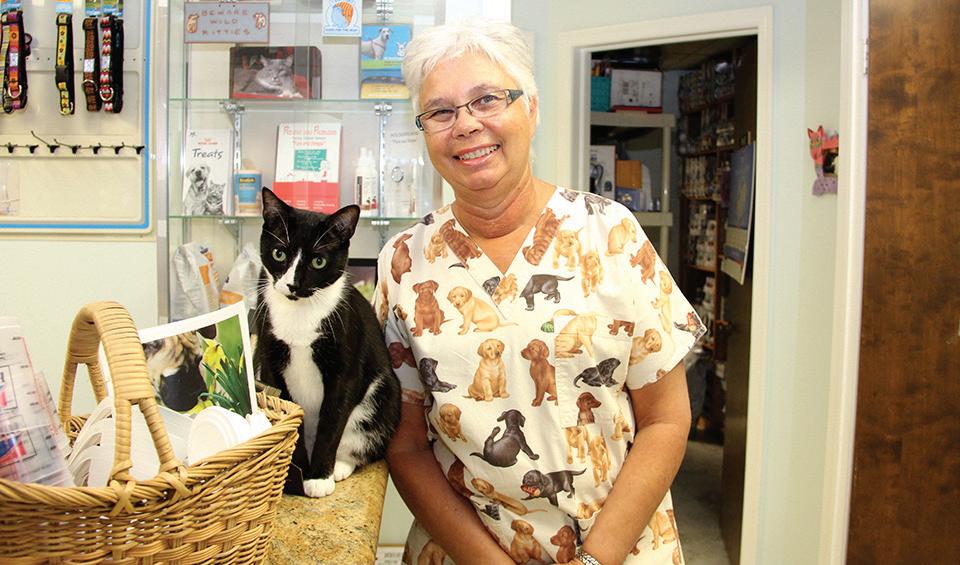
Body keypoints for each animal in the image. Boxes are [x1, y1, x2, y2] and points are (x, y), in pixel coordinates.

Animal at [254, 188, 401, 498]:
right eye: (279, 253)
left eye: (318, 261)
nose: (293, 285)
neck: (300, 311)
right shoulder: (271, 359)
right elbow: (289, 414)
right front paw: (293, 476)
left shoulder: (345, 366)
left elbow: (332, 422)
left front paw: (319, 477)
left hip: (384, 395)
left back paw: (340, 466)